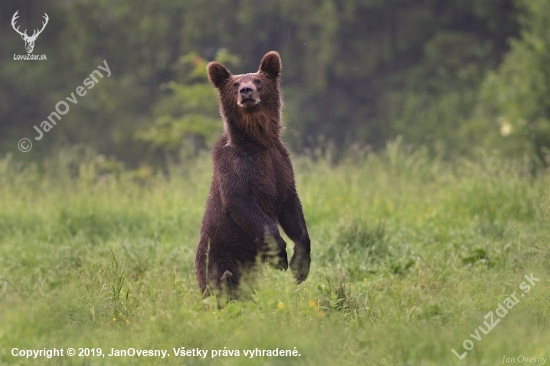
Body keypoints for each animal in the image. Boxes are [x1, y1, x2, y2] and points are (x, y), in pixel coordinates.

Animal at [196, 50, 312, 304]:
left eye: (258, 81)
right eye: (235, 84)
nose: (246, 91)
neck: (258, 140)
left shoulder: (280, 163)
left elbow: (292, 208)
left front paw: (299, 266)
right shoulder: (236, 164)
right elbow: (242, 202)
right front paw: (280, 256)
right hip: (222, 254)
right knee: (223, 286)